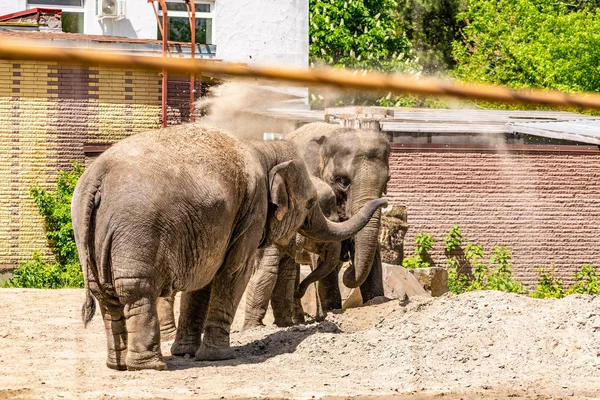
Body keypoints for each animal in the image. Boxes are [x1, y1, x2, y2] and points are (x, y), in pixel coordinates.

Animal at [71, 122, 390, 372]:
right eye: (311, 202)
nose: (385, 201)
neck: (262, 148)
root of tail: (97, 177)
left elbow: (204, 279)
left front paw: (186, 353)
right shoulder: (253, 210)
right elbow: (235, 272)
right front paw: (218, 356)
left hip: (90, 234)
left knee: (105, 295)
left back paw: (118, 365)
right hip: (137, 230)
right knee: (136, 291)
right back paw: (150, 366)